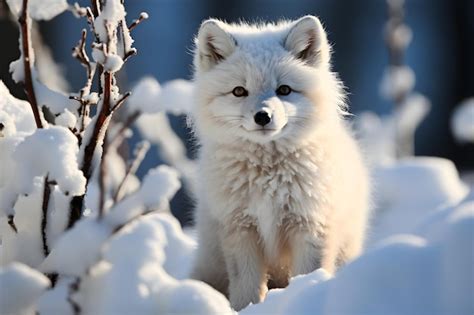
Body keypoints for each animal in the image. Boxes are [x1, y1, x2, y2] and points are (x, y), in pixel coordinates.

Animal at [189, 15, 370, 312]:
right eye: (239, 91)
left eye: (284, 90)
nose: (263, 116)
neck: (268, 178)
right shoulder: (241, 230)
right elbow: (246, 289)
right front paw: (246, 310)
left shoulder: (310, 226)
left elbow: (308, 274)